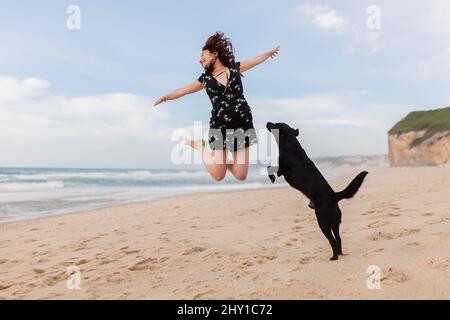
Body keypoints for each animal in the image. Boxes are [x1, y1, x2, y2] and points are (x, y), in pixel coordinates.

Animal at [268, 121, 370, 262]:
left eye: (276, 124)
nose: (267, 123)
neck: (289, 143)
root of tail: (334, 196)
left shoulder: (281, 170)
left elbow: (269, 168)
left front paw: (271, 178)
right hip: (335, 223)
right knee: (338, 238)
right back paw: (340, 254)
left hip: (323, 222)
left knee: (332, 240)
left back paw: (334, 257)